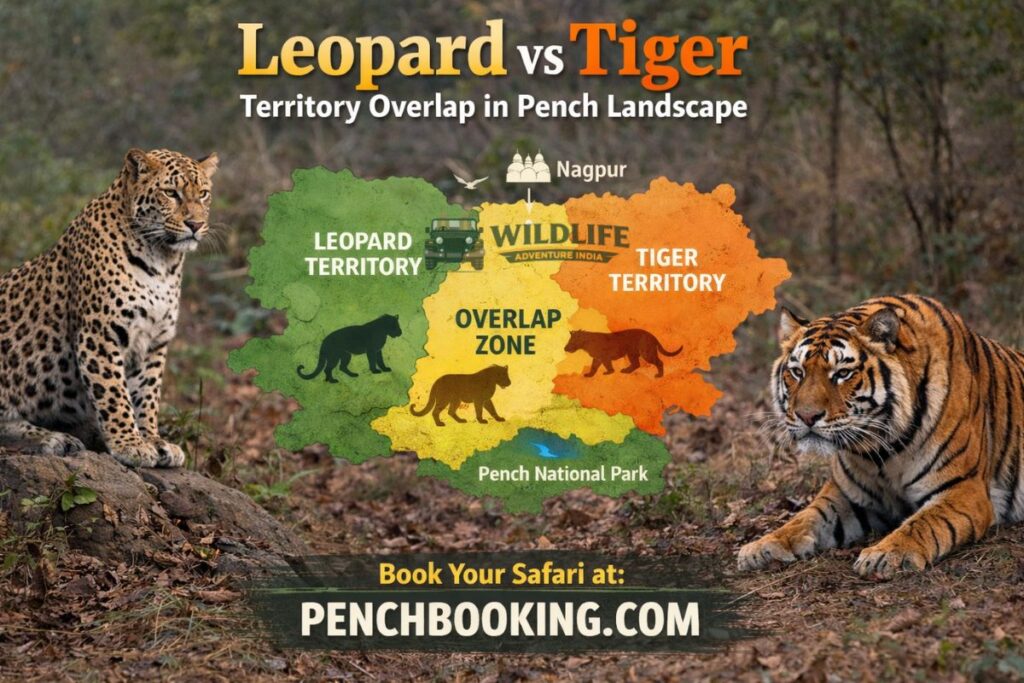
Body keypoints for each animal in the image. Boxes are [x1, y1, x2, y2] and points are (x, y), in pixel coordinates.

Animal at [0, 148, 218, 468]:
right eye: (171, 193)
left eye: (203, 194)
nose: (196, 225)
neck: (162, 261)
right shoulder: (100, 334)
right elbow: (114, 394)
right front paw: (129, 444)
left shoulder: (154, 341)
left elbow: (147, 395)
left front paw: (153, 439)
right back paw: (54, 440)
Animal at [738, 294, 1023, 579]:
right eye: (798, 372)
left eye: (842, 374)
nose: (807, 416)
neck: (882, 449)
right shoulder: (848, 495)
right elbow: (805, 518)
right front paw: (761, 547)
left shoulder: (963, 488)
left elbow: (922, 523)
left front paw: (884, 555)